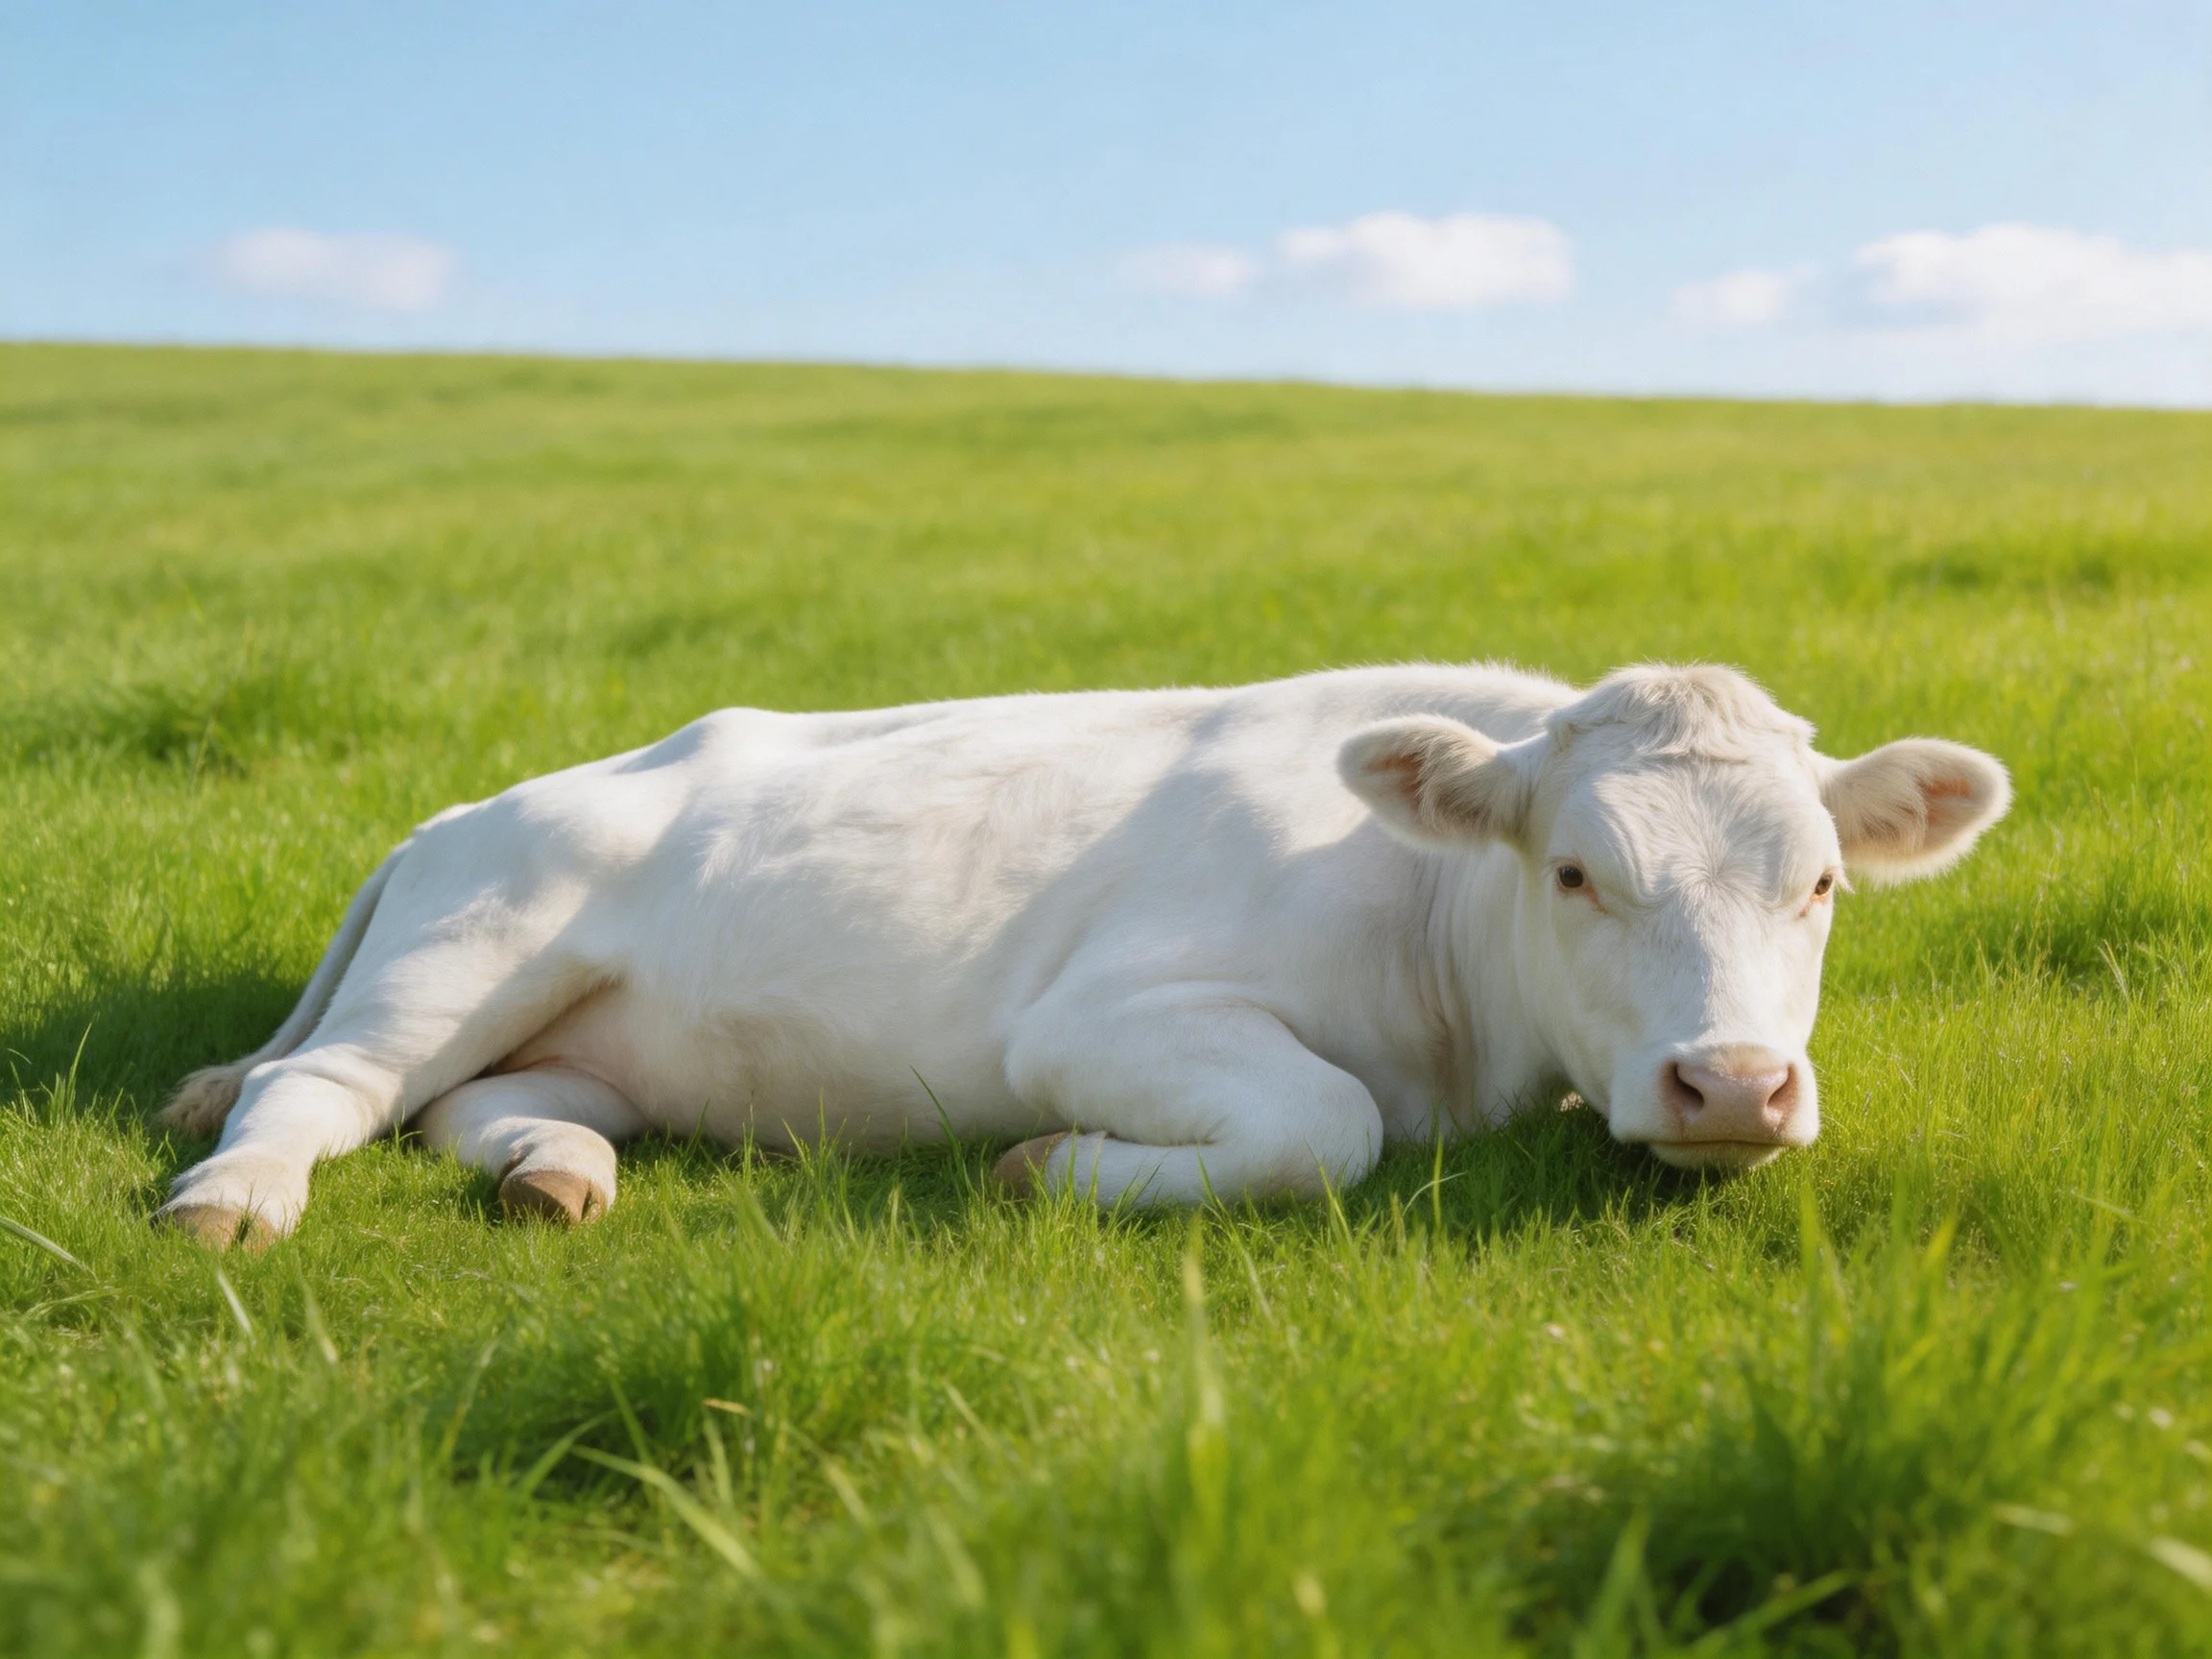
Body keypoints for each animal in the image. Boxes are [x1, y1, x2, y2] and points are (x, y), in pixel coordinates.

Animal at [153, 663, 2010, 1246]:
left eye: (1822, 884)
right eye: (1572, 871)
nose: (1733, 1085)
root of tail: (466, 808)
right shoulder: (1099, 1016)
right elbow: (1323, 1126)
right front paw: (1046, 1165)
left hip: (585, 1034)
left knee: (465, 1111)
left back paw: (555, 1167)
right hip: (470, 949)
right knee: (322, 1088)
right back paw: (233, 1201)